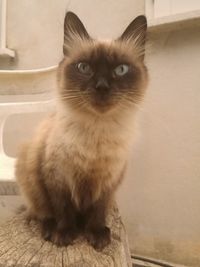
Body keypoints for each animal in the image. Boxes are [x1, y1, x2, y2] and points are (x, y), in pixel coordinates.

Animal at [15, 11, 148, 250]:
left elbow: (97, 213)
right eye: (84, 68)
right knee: (41, 213)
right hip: (29, 175)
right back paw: (49, 231)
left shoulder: (107, 183)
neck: (97, 131)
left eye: (120, 70)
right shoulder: (58, 179)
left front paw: (97, 236)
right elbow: (63, 211)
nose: (102, 87)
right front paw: (64, 235)